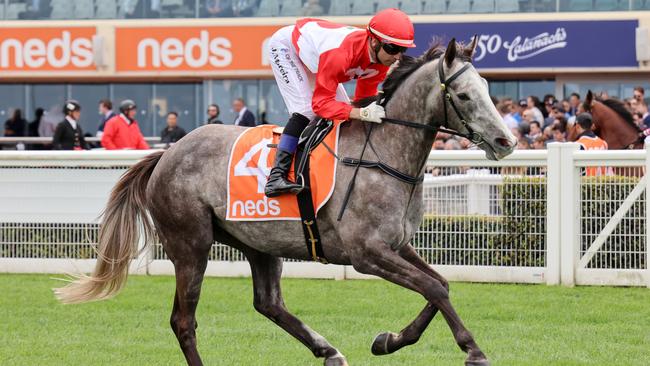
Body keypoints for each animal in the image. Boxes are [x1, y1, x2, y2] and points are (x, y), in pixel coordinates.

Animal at [53, 38, 512, 366]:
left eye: (488, 88)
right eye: (464, 96)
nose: (506, 141)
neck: (383, 155)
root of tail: (166, 153)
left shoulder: (397, 245)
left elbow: (441, 285)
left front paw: (388, 340)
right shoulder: (367, 253)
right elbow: (433, 286)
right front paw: (473, 350)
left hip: (257, 242)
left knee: (268, 303)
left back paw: (329, 351)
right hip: (190, 243)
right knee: (183, 320)